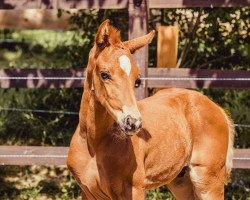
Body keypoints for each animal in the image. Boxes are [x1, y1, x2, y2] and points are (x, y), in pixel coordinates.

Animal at [67, 19, 234, 200]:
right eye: (104, 74)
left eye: (137, 80)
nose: (133, 122)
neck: (94, 144)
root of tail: (218, 109)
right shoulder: (88, 192)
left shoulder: (134, 189)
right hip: (182, 181)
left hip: (209, 182)